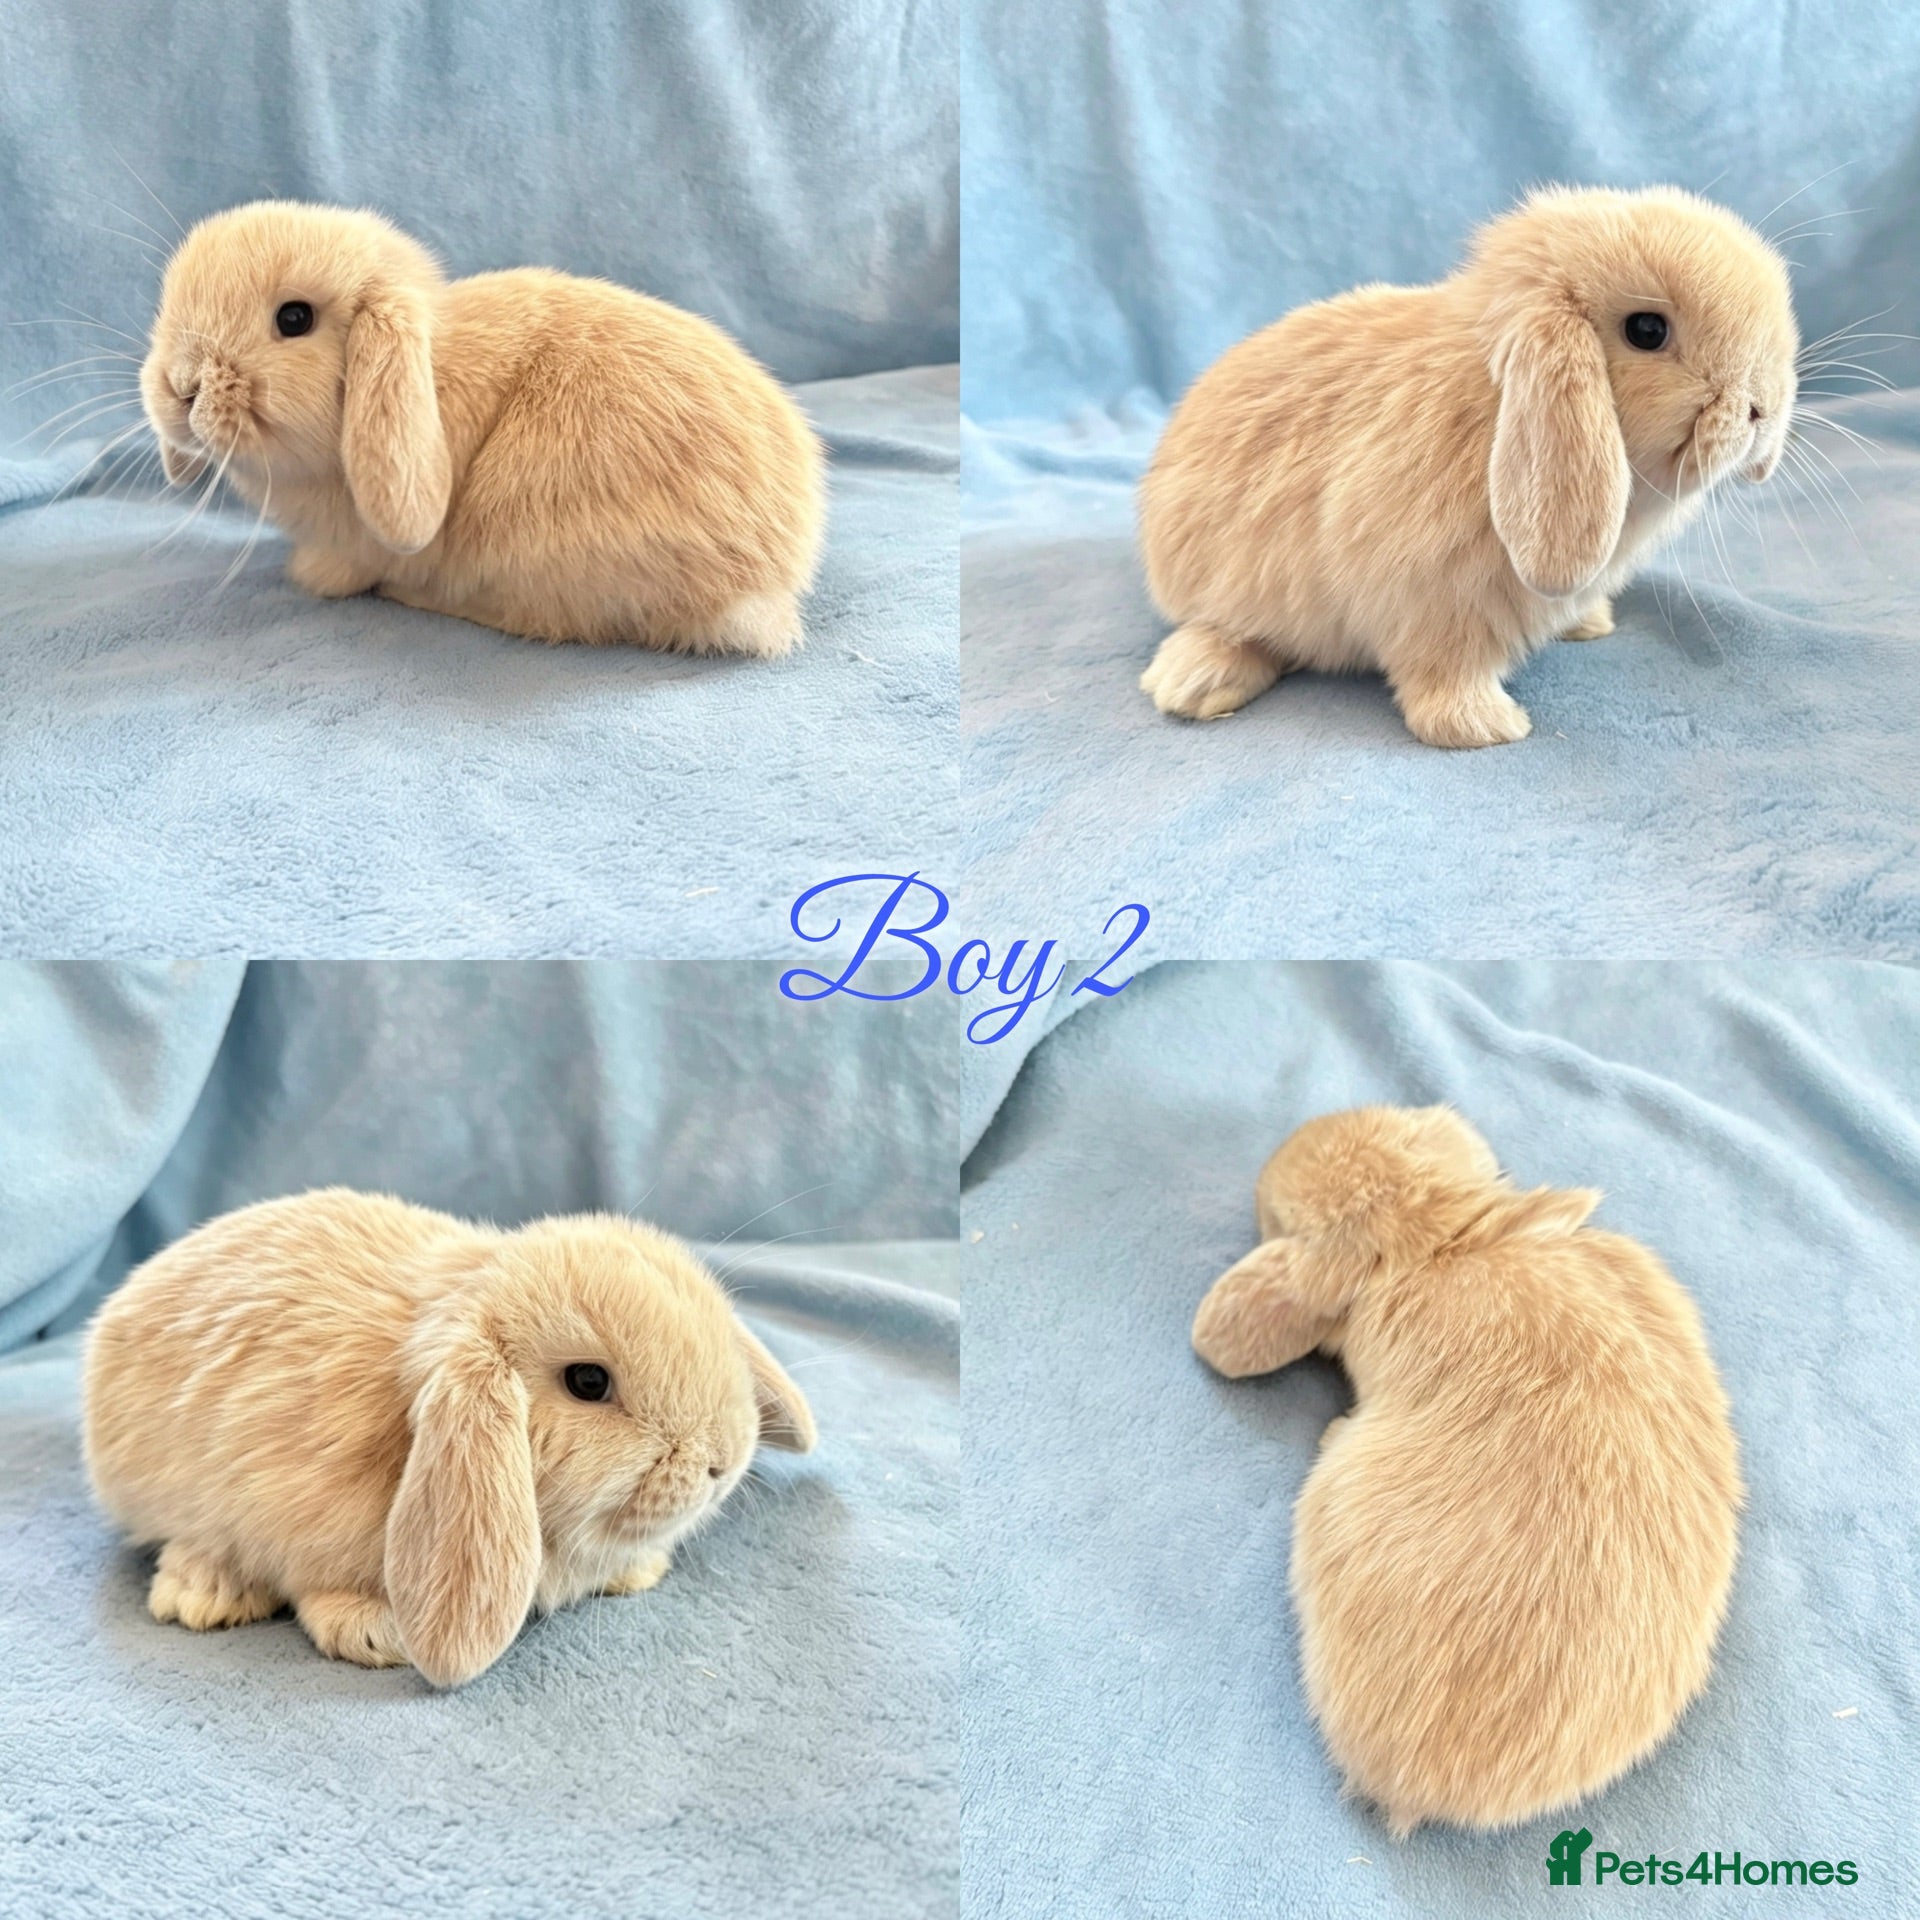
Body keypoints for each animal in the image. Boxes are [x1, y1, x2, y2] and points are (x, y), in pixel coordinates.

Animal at [83, 1189, 816, 1688]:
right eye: (587, 1381)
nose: (724, 1460)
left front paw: (639, 1571)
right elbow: (320, 1591)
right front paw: (378, 1635)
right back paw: (202, 1595)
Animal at [1139, 186, 1798, 746]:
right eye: (1647, 329)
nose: (1763, 407)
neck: (1491, 410)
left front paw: (1589, 623)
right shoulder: (1430, 604)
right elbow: (1443, 672)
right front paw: (1485, 727)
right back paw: (1195, 683)